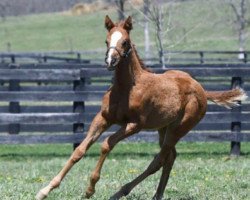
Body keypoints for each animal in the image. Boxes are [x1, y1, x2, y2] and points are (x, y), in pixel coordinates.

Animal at [36, 16, 247, 200]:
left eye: (125, 42)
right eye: (106, 40)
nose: (110, 61)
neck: (126, 88)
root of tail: (201, 88)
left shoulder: (134, 125)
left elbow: (106, 144)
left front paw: (90, 189)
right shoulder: (103, 118)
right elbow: (79, 150)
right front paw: (45, 190)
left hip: (179, 128)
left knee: (159, 160)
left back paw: (120, 192)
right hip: (163, 128)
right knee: (170, 157)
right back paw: (157, 194)